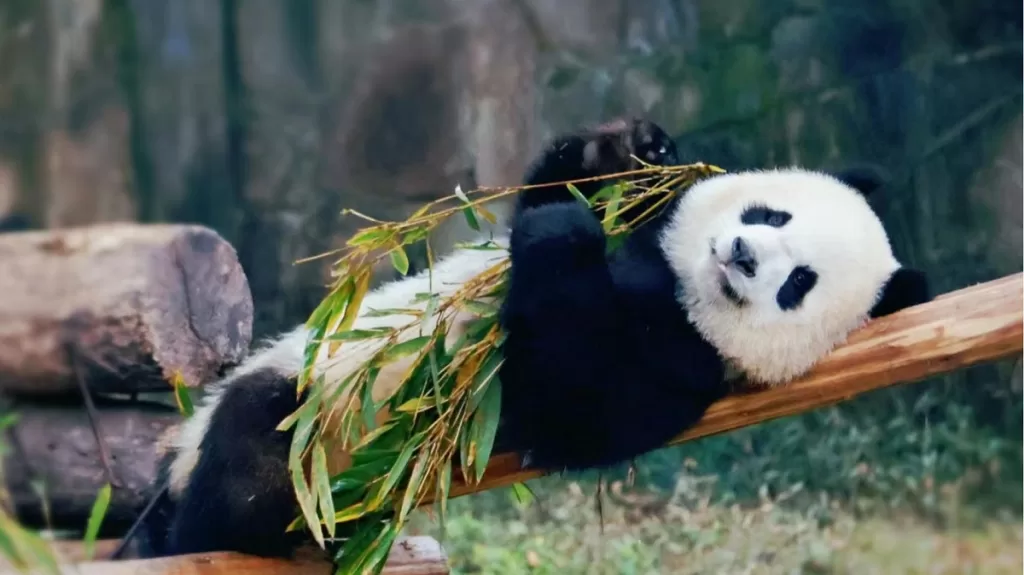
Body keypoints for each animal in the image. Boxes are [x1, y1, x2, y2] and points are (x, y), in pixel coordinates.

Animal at [136, 118, 931, 560]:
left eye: (798, 283)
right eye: (772, 214)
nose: (739, 254)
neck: (678, 283)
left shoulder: (679, 371)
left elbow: (566, 392)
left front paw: (568, 238)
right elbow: (555, 192)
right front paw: (632, 151)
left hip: (312, 447)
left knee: (250, 473)